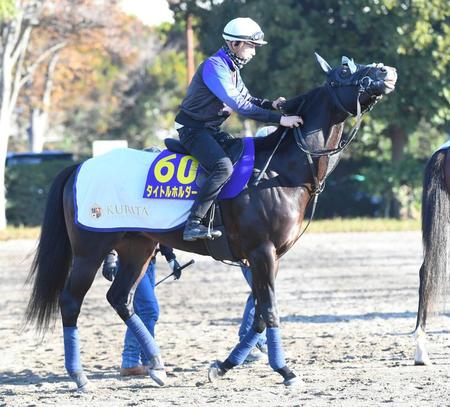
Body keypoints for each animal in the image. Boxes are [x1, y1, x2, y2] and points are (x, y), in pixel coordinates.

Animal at [24, 52, 398, 390]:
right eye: (344, 71)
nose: (387, 70)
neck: (280, 171)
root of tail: (80, 166)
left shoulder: (270, 257)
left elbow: (259, 315)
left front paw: (224, 366)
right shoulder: (262, 252)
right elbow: (269, 311)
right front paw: (285, 371)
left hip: (137, 247)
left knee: (120, 298)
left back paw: (157, 365)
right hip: (90, 250)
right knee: (71, 302)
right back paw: (79, 376)